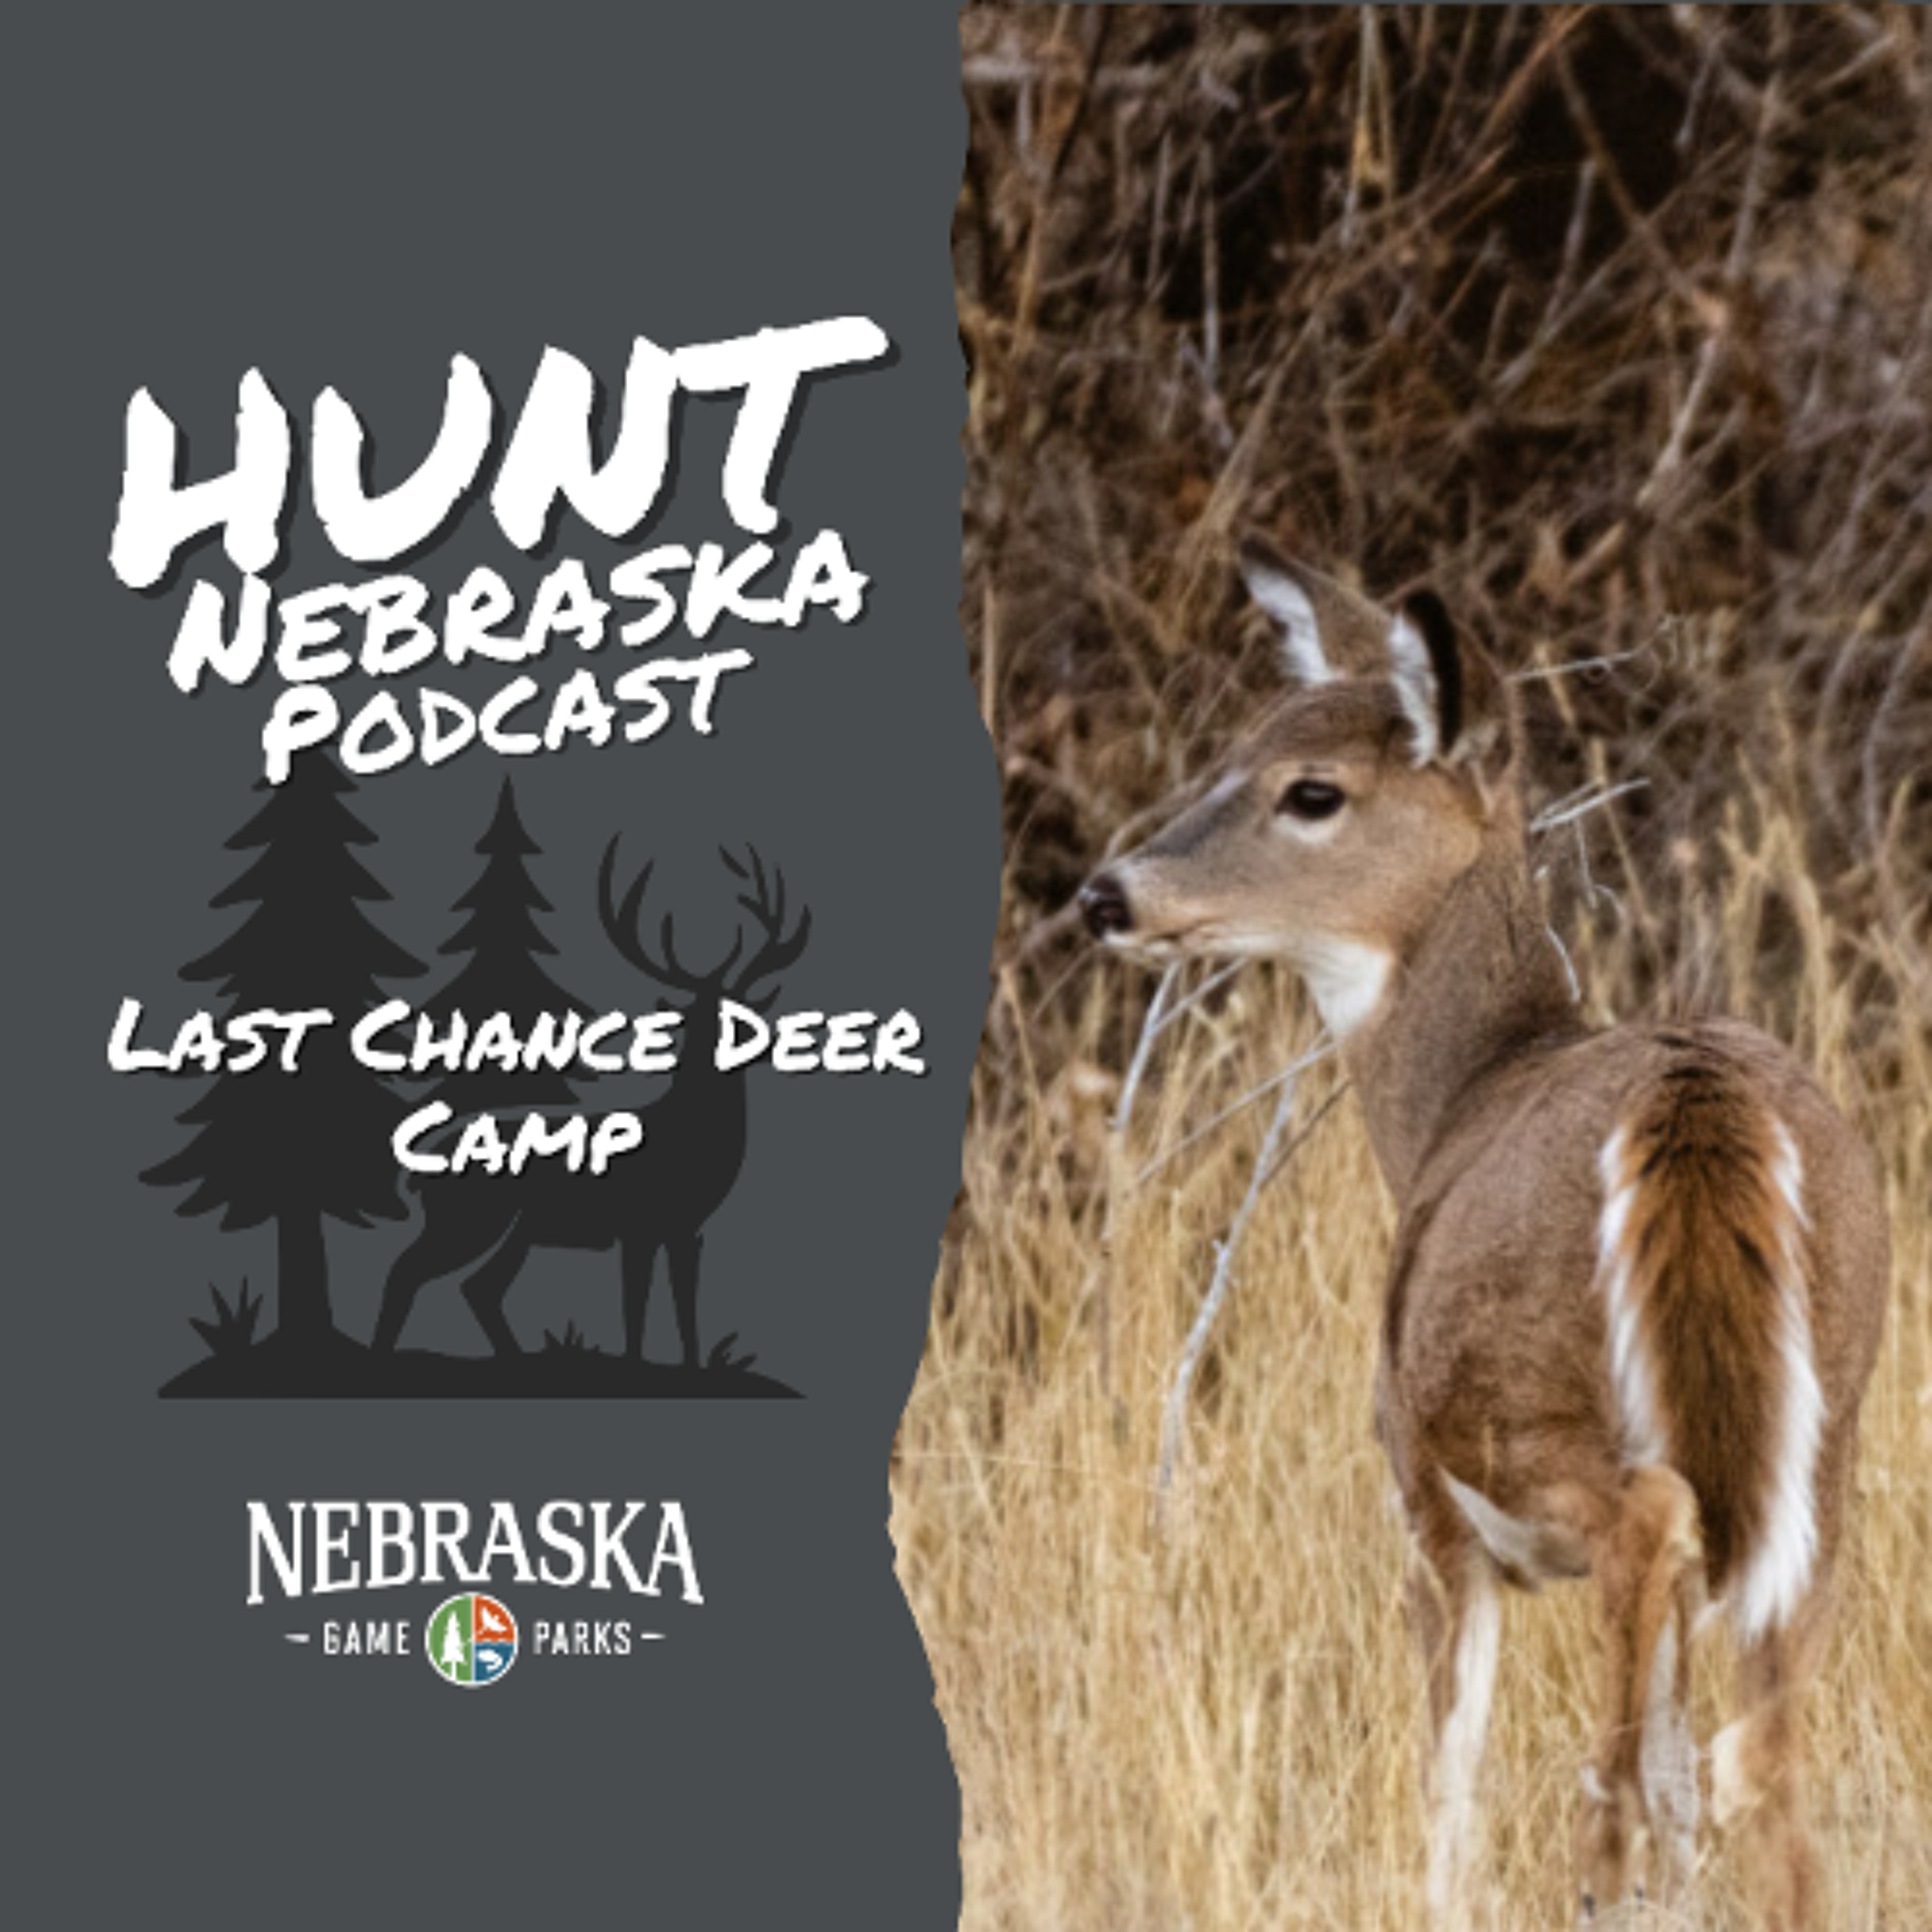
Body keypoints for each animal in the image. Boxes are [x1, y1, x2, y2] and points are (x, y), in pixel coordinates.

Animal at [371, 842, 810, 1365]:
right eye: (696, 1021)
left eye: (742, 1017)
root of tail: (421, 1167)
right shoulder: (637, 1222)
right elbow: (634, 1306)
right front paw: (636, 1363)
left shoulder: (687, 1229)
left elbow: (686, 1307)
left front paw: (692, 1365)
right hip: (472, 1216)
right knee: (410, 1271)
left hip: (515, 1228)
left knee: (479, 1288)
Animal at [1078, 541, 1889, 1930]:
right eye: (1233, 750)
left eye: (1312, 790)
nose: (1107, 892)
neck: (1458, 1098)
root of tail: (1699, 1110)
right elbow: (1680, 1780)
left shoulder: (1423, 1500)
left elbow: (1448, 1782)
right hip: (1821, 1447)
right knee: (1762, 1774)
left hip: (1528, 1402)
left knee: (1641, 1578)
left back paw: (1593, 1866)